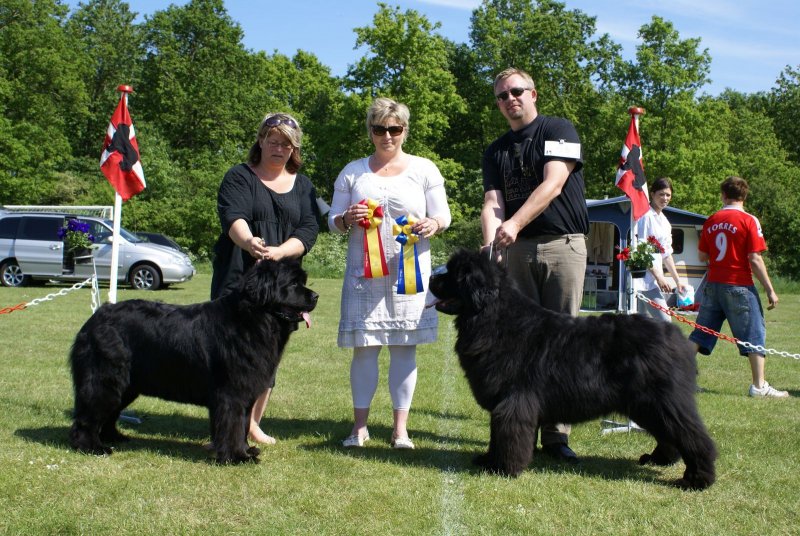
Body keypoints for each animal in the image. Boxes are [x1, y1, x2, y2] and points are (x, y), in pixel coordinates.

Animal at [69, 259, 318, 464]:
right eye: (293, 284)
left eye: (302, 281)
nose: (316, 296)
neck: (254, 319)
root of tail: (94, 319)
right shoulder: (231, 393)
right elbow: (233, 425)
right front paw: (237, 457)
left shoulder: (246, 393)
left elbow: (244, 424)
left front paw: (247, 450)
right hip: (106, 380)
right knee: (89, 415)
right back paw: (92, 447)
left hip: (127, 386)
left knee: (109, 414)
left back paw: (115, 437)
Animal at [429, 250, 717, 490]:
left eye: (454, 274)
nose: (431, 278)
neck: (494, 317)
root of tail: (676, 337)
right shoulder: (503, 404)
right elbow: (495, 435)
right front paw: (489, 460)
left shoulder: (513, 402)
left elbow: (508, 435)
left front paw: (503, 468)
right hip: (648, 405)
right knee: (669, 433)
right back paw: (659, 459)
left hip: (662, 400)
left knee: (693, 436)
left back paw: (697, 479)